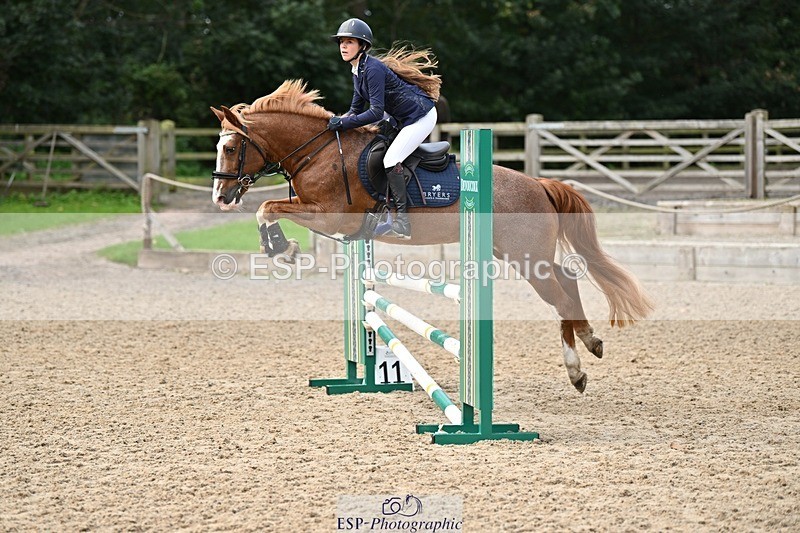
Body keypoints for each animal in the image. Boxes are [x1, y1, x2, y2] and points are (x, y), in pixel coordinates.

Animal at [210, 80, 654, 392]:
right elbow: (270, 209)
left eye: (231, 148)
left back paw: (577, 368)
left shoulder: (333, 217)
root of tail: (538, 184)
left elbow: (268, 208)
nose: (220, 196)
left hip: (526, 257)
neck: (317, 152)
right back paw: (590, 343)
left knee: (560, 294)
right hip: (519, 254)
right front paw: (281, 248)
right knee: (568, 280)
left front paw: (282, 249)